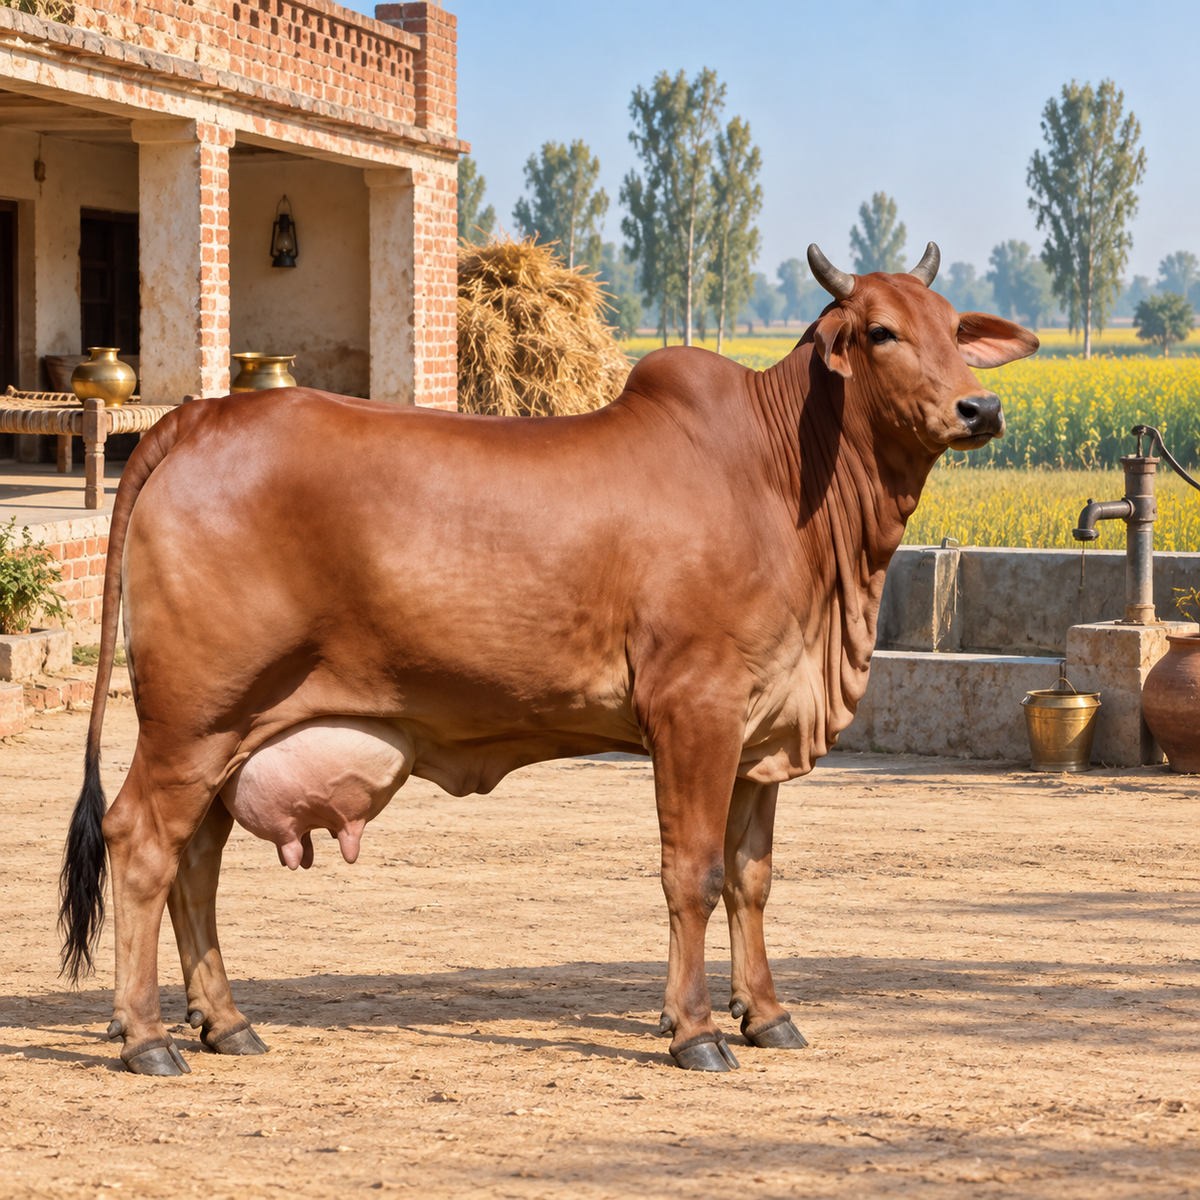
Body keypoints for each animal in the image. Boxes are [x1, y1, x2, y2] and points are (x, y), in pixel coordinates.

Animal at [59, 243, 1037, 1075]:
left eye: (955, 328)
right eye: (879, 331)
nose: (980, 409)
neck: (783, 483)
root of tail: (196, 419)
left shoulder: (761, 731)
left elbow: (751, 881)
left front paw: (767, 1016)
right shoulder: (696, 708)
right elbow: (693, 873)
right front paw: (695, 1031)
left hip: (233, 732)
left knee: (197, 859)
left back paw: (226, 1021)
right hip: (193, 716)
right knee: (141, 841)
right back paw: (147, 1036)